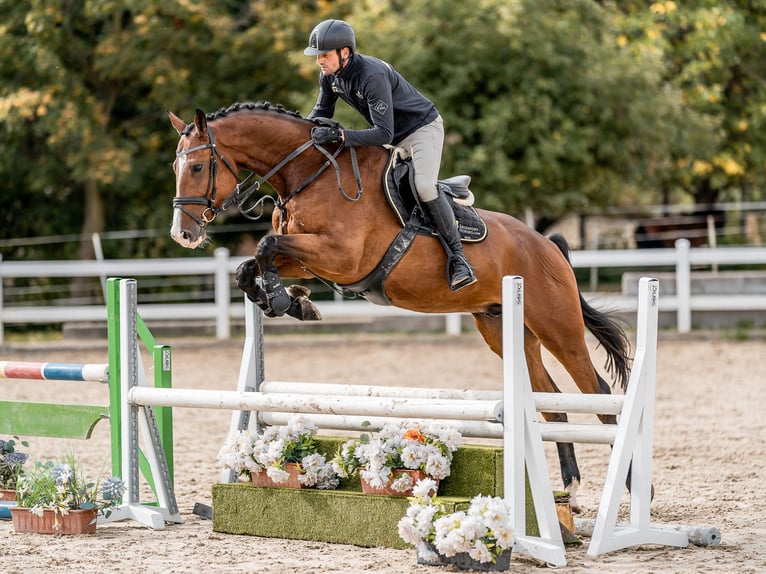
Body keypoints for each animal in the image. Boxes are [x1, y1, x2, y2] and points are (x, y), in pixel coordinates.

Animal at [171, 101, 632, 510]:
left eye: (197, 168)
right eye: (177, 169)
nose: (183, 235)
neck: (309, 174)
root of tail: (547, 245)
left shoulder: (341, 256)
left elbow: (265, 246)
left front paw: (285, 299)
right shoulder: (306, 255)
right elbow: (250, 264)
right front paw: (288, 301)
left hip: (557, 327)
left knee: (599, 394)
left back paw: (626, 490)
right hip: (505, 331)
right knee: (550, 402)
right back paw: (571, 489)